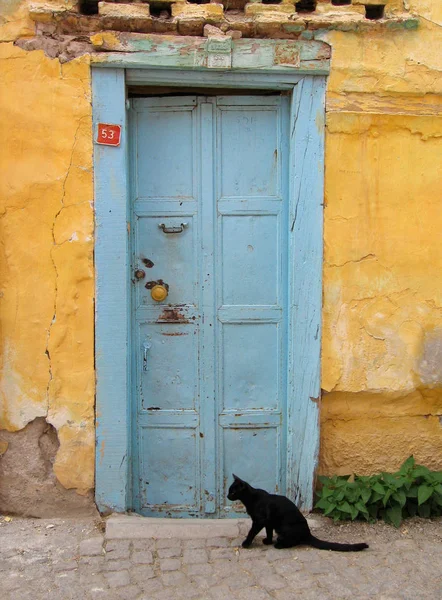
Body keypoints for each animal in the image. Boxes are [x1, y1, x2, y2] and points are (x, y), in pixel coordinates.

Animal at [228, 474, 370, 552]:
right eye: (229, 491)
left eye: (233, 492)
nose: (227, 496)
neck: (251, 499)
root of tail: (308, 533)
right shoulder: (268, 522)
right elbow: (268, 532)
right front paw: (267, 541)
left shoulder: (259, 521)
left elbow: (251, 532)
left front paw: (246, 543)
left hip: (285, 528)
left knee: (293, 541)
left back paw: (279, 544)